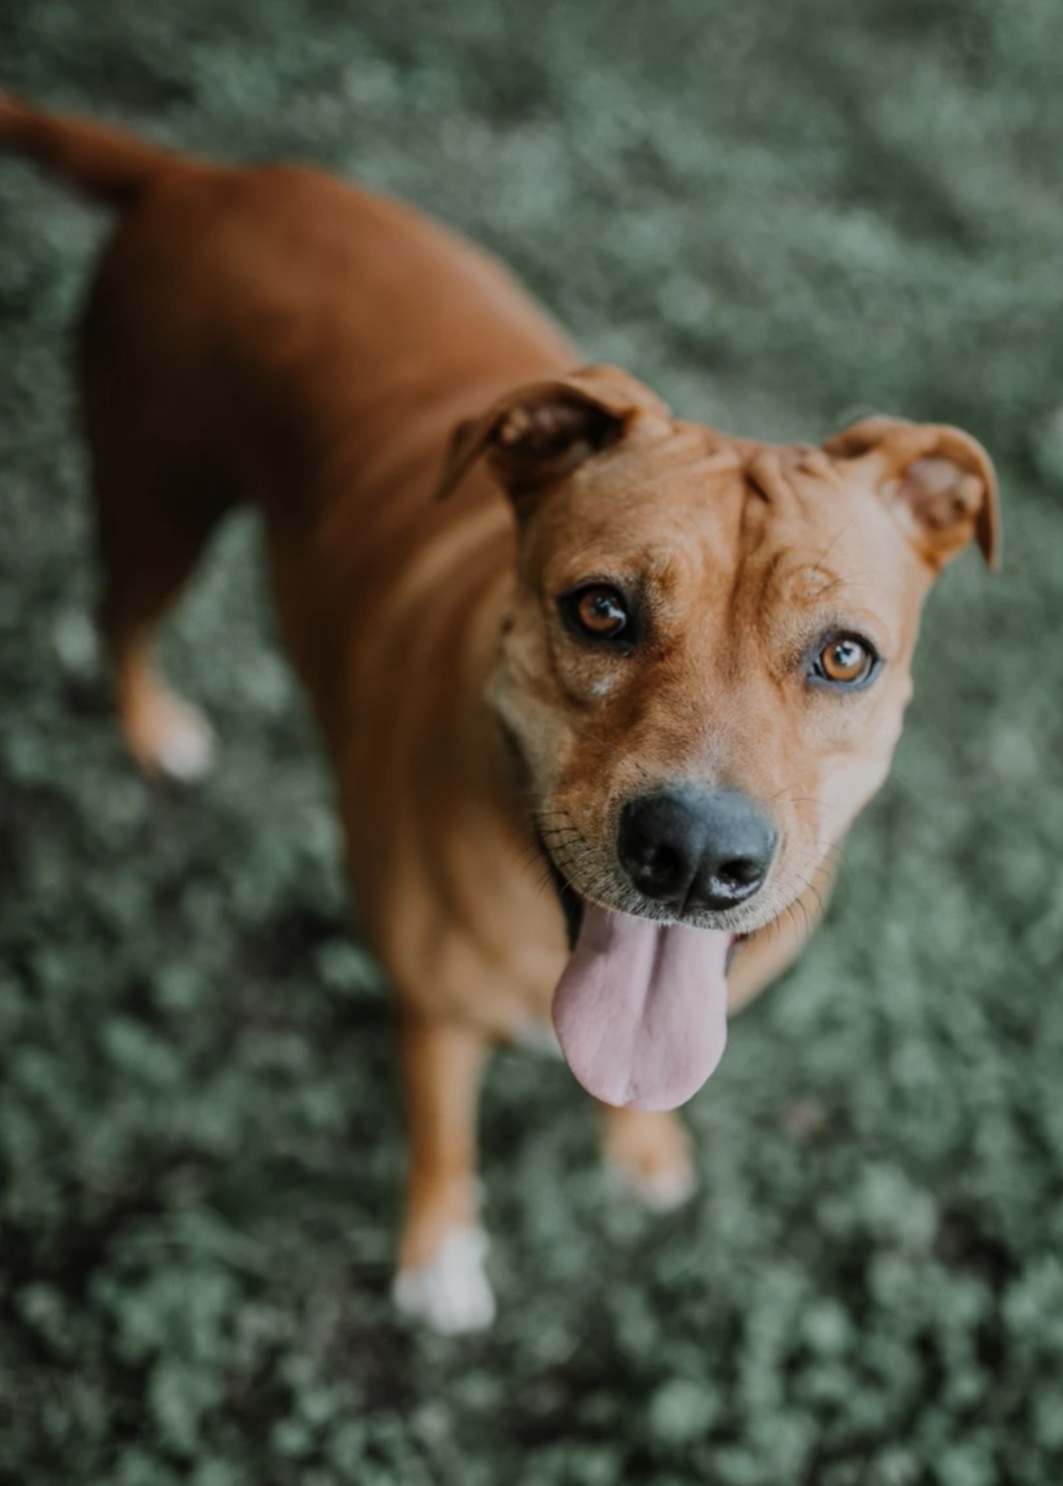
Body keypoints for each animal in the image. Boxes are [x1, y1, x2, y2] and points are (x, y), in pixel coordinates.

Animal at [2, 98, 999, 1331]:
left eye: (844, 655)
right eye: (601, 609)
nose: (693, 857)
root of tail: (202, 179)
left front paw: (643, 1153)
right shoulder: (430, 1010)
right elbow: (441, 1132)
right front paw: (439, 1257)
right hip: (156, 502)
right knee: (119, 618)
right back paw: (154, 729)